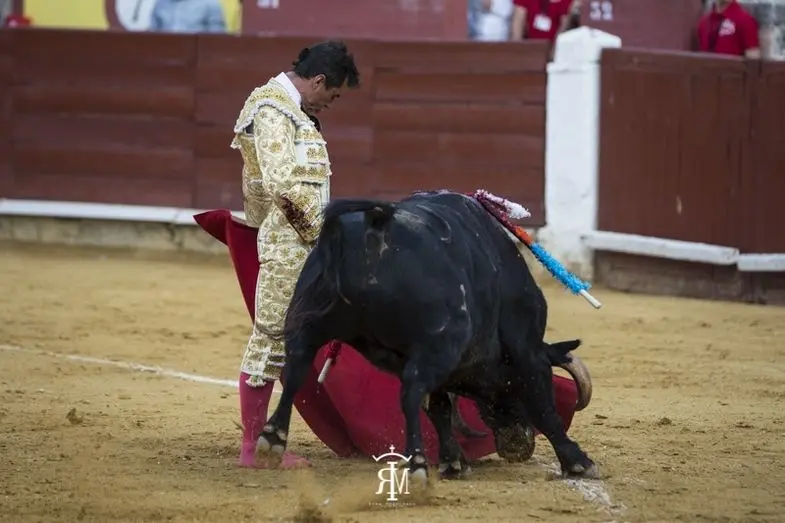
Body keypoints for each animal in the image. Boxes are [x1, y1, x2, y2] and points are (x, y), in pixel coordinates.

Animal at [256, 190, 598, 483]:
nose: (517, 446)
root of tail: (376, 225)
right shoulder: (525, 348)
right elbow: (544, 405)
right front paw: (578, 462)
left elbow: (439, 406)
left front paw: (453, 462)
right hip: (438, 344)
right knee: (409, 393)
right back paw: (417, 463)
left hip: (309, 323)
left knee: (296, 367)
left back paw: (272, 438)